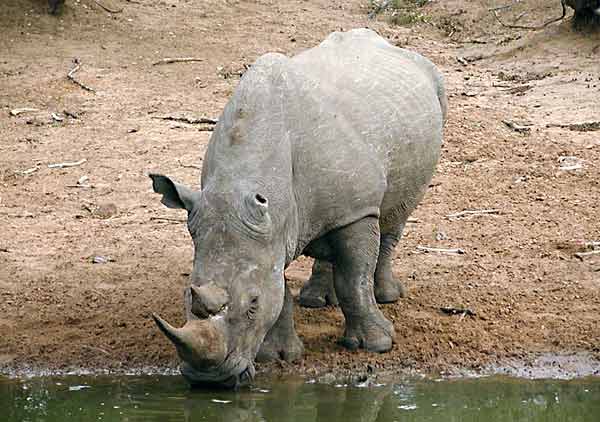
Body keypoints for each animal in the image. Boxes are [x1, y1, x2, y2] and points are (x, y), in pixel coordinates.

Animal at [150, 28, 446, 388]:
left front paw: (376, 345)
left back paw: (386, 295)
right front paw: (278, 355)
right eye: (187, 296)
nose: (210, 380)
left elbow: (354, 279)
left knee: (394, 218)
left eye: (252, 305)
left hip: (431, 97)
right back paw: (316, 300)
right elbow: (280, 287)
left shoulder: (357, 211)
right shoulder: (268, 228)